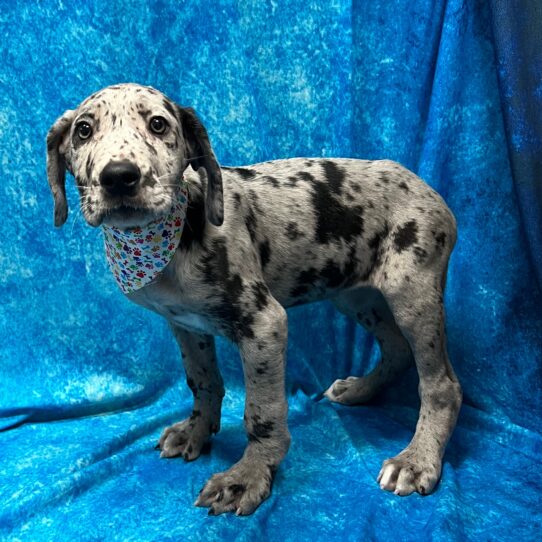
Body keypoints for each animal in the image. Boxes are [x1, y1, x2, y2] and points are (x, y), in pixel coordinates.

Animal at [46, 83, 464, 516]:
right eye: (83, 130)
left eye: (158, 124)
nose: (119, 177)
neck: (172, 237)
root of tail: (430, 191)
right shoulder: (185, 325)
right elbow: (203, 381)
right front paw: (196, 432)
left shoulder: (264, 325)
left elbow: (262, 413)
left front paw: (247, 477)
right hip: (355, 295)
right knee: (396, 350)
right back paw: (360, 390)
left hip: (412, 295)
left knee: (441, 385)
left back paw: (416, 460)